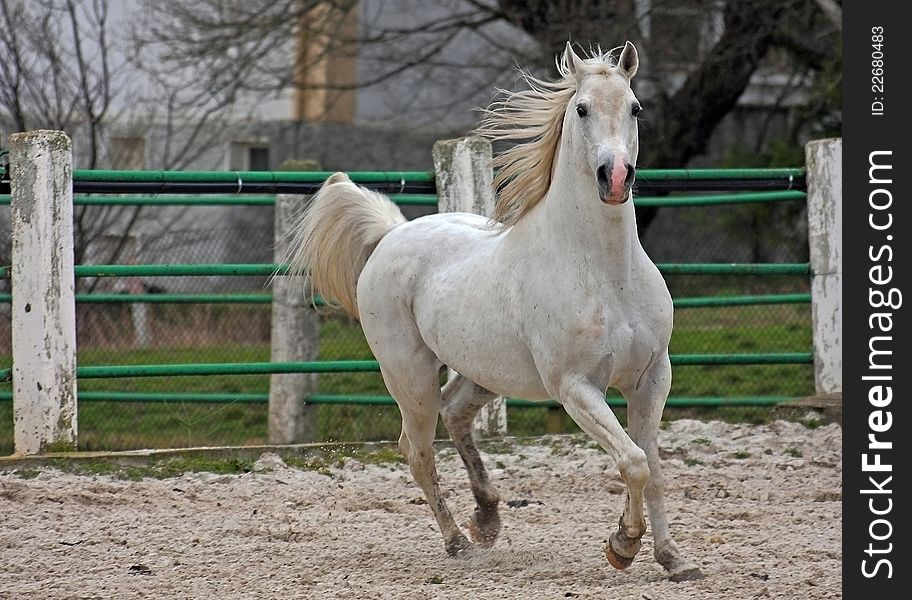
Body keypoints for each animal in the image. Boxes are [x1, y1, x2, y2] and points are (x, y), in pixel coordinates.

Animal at [288, 42, 700, 580]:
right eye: (582, 109)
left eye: (635, 108)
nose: (615, 178)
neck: (606, 272)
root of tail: (392, 234)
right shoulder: (575, 387)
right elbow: (633, 462)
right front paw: (623, 545)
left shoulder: (652, 377)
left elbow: (653, 468)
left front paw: (674, 559)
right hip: (409, 376)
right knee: (417, 451)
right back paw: (458, 542)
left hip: (483, 371)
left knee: (454, 412)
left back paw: (487, 517)